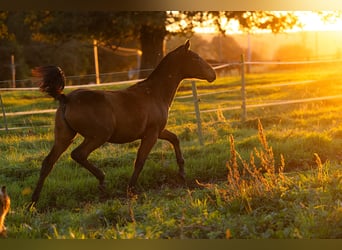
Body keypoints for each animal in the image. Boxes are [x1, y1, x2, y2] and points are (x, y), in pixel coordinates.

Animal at [30, 40, 216, 208]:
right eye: (196, 58)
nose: (213, 74)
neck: (154, 93)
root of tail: (65, 98)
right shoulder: (151, 134)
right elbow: (140, 160)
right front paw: (131, 189)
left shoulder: (158, 131)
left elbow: (175, 139)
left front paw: (182, 174)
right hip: (98, 136)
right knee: (78, 154)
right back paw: (102, 180)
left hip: (64, 137)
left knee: (48, 163)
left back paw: (33, 202)